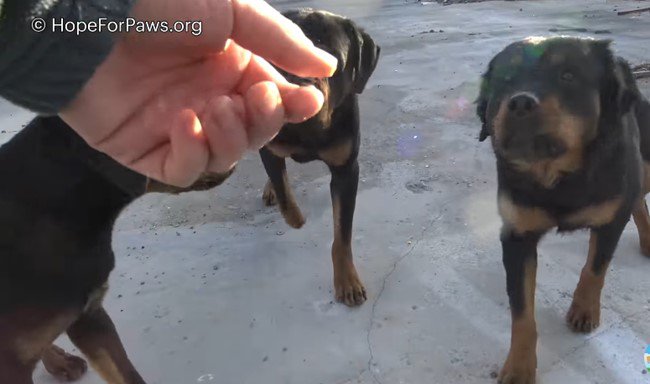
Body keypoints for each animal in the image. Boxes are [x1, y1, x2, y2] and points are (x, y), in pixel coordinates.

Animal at [260, 9, 380, 308]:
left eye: (332, 59)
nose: (301, 87)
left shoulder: (346, 169)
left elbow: (342, 234)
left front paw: (347, 281)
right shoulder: (270, 146)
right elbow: (282, 186)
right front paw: (295, 218)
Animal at [476, 36, 648, 384]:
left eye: (568, 76)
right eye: (504, 80)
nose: (520, 103)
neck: (558, 176)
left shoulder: (612, 218)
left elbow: (595, 268)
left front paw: (584, 309)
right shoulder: (517, 235)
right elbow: (522, 311)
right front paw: (519, 366)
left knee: (638, 196)